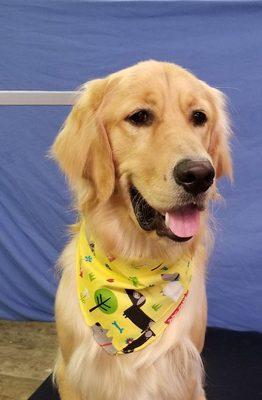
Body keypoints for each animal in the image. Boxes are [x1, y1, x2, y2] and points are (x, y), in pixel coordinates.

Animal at [51, 60, 231, 400]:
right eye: (139, 117)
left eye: (199, 117)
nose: (201, 175)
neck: (137, 262)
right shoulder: (72, 373)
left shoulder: (184, 377)